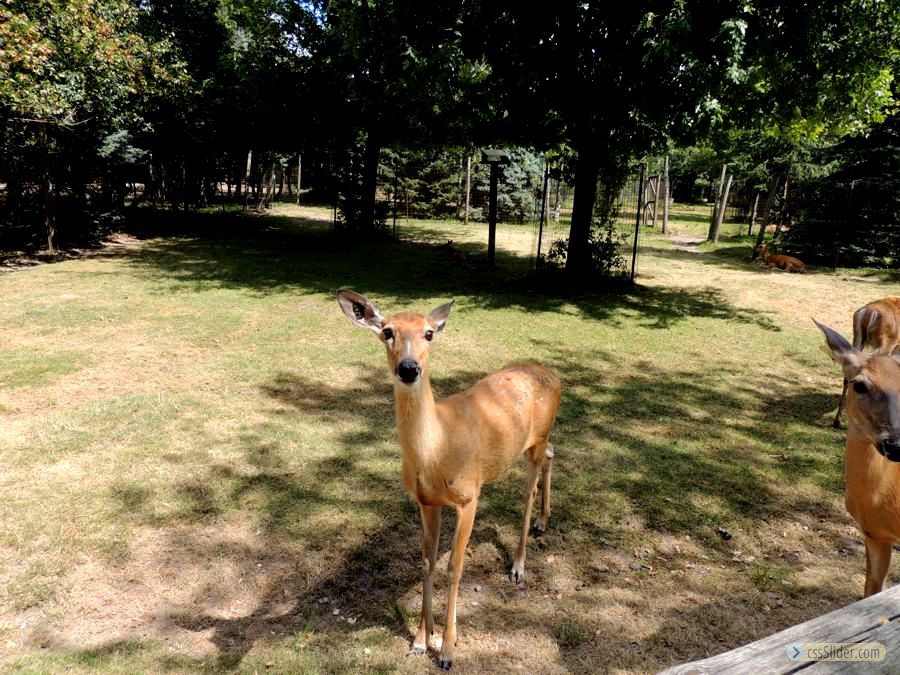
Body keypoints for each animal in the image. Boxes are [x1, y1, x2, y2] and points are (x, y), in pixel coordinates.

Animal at [338, 290, 564, 672]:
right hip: (537, 441)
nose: (409, 368)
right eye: (387, 331)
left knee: (528, 492)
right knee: (551, 454)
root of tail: (555, 375)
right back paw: (543, 524)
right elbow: (426, 562)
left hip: (535, 439)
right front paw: (420, 639)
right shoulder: (425, 501)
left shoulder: (469, 496)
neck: (437, 451)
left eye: (429, 333)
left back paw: (518, 566)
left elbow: (455, 568)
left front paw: (446, 650)